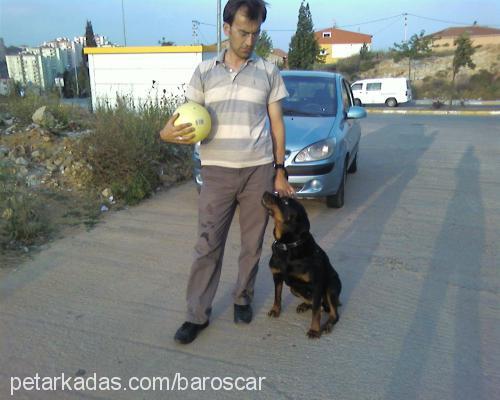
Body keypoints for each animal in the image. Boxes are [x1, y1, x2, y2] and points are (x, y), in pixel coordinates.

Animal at [262, 191, 340, 338]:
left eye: (285, 202)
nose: (265, 192)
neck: (288, 246)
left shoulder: (317, 285)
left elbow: (316, 312)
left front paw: (314, 330)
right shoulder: (277, 277)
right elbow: (277, 296)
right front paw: (275, 310)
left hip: (331, 287)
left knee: (333, 312)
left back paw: (327, 325)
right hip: (294, 289)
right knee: (315, 303)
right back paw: (304, 305)